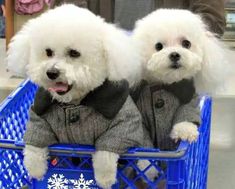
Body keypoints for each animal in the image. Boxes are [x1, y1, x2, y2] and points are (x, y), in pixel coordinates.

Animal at [6, 4, 145, 189]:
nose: (51, 72)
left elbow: (107, 151)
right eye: (48, 52)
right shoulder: (38, 116)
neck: (73, 103)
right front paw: (35, 168)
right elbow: (34, 143)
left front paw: (105, 178)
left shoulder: (126, 124)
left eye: (74, 53)